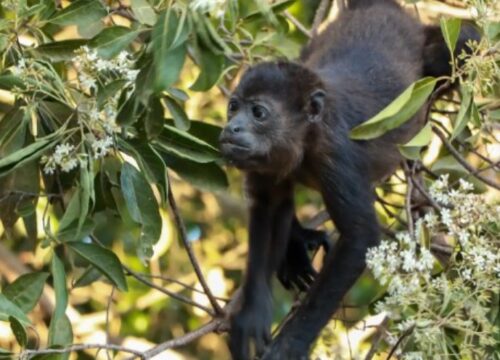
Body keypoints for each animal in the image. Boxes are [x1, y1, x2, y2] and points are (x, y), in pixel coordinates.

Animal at [218, 1, 476, 358]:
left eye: (258, 112)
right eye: (233, 107)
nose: (232, 128)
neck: (306, 136)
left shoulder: (336, 157)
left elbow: (359, 237)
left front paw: (291, 344)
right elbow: (266, 208)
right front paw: (252, 316)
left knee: (464, 41)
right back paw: (296, 249)